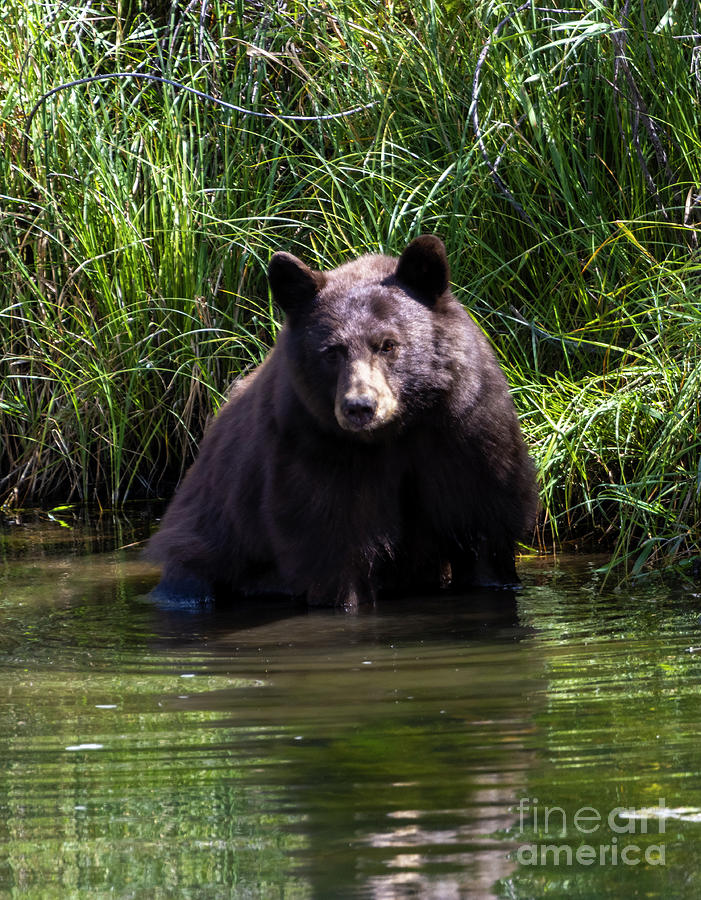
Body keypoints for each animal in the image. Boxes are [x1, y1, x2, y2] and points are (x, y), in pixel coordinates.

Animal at [148, 236, 536, 608]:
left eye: (388, 344)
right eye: (332, 351)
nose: (360, 406)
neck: (397, 431)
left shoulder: (465, 437)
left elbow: (483, 532)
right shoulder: (314, 451)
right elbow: (331, 547)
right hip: (203, 542)